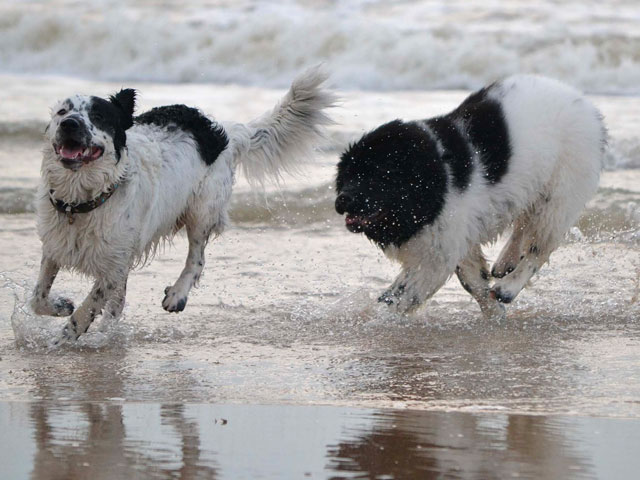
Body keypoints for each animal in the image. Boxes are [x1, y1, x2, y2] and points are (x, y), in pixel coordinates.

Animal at [30, 68, 336, 344]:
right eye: (62, 112)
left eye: (98, 116)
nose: (70, 124)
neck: (82, 199)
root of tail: (222, 133)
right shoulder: (56, 246)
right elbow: (38, 297)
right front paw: (60, 307)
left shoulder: (113, 265)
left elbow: (88, 306)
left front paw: (64, 338)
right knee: (119, 302)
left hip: (202, 210)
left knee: (197, 258)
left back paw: (177, 294)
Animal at [336, 75, 604, 318]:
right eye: (347, 175)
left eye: (375, 175)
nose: (341, 200)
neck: (434, 174)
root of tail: (588, 107)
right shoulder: (454, 238)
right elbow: (471, 279)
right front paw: (493, 311)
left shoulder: (441, 249)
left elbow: (410, 293)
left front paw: (381, 317)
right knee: (524, 226)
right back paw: (506, 262)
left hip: (559, 194)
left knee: (539, 248)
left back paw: (508, 287)